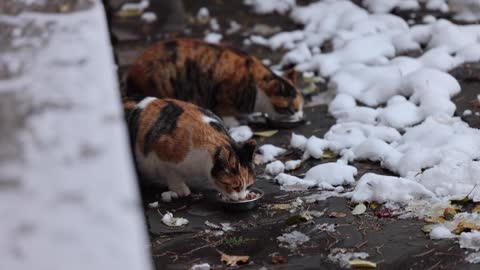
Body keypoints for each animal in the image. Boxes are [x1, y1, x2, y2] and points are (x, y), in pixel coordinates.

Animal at [124, 38, 304, 122]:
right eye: (294, 109)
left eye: (302, 107)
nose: (302, 117)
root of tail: (131, 72)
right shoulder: (224, 94)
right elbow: (226, 112)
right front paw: (235, 122)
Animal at [125, 95, 256, 200]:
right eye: (235, 187)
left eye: (249, 185)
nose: (242, 198)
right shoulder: (159, 154)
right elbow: (170, 172)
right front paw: (180, 189)